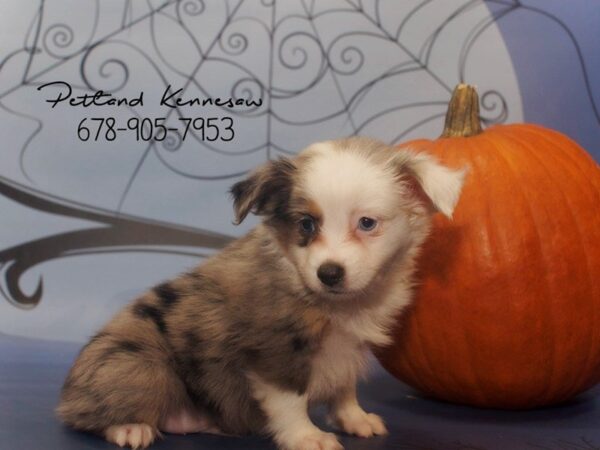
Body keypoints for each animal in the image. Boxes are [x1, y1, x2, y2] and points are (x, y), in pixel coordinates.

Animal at [56, 137, 464, 450]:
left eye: (366, 223)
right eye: (306, 224)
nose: (329, 273)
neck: (338, 304)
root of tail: (69, 394)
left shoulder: (348, 348)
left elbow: (344, 388)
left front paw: (355, 418)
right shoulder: (274, 348)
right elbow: (291, 401)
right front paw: (306, 437)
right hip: (138, 363)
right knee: (92, 413)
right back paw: (130, 427)